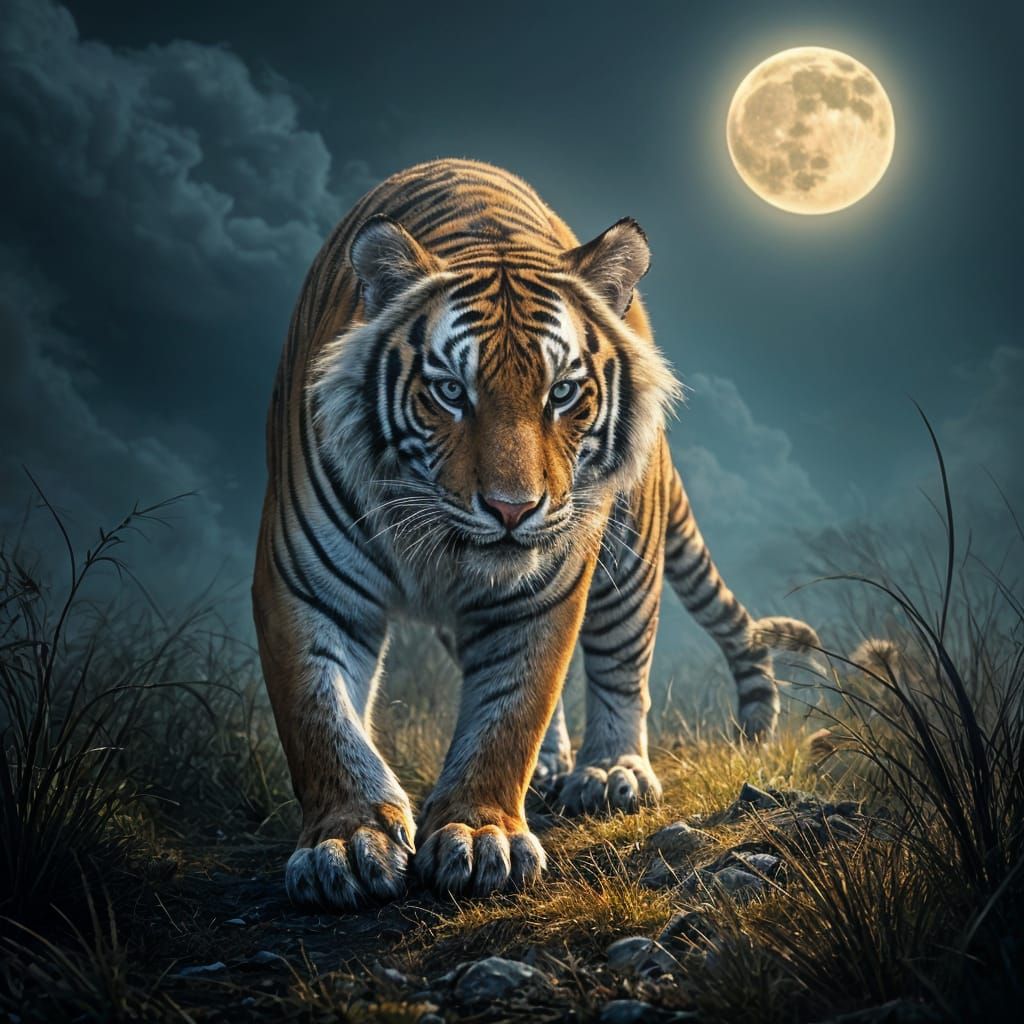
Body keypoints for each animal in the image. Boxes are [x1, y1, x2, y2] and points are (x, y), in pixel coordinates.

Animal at [252, 157, 819, 911]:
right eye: (451, 392)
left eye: (562, 393)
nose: (511, 509)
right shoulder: (304, 583)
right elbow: (321, 719)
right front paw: (347, 843)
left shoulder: (543, 593)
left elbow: (509, 713)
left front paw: (476, 836)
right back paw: (554, 769)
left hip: (629, 546)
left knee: (621, 662)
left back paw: (610, 773)